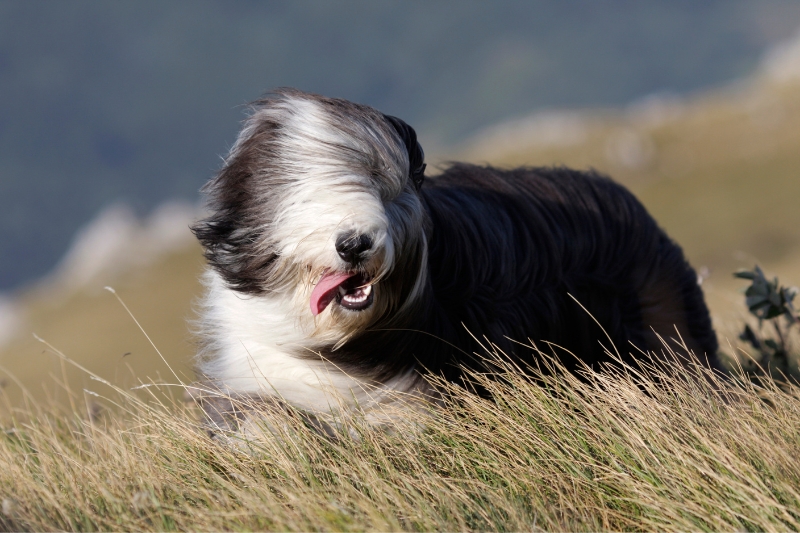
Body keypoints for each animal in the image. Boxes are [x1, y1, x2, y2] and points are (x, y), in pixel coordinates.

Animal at [191, 87, 720, 428]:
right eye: (301, 193)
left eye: (382, 185)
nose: (355, 243)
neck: (332, 338)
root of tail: (626, 200)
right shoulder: (252, 370)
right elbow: (260, 420)